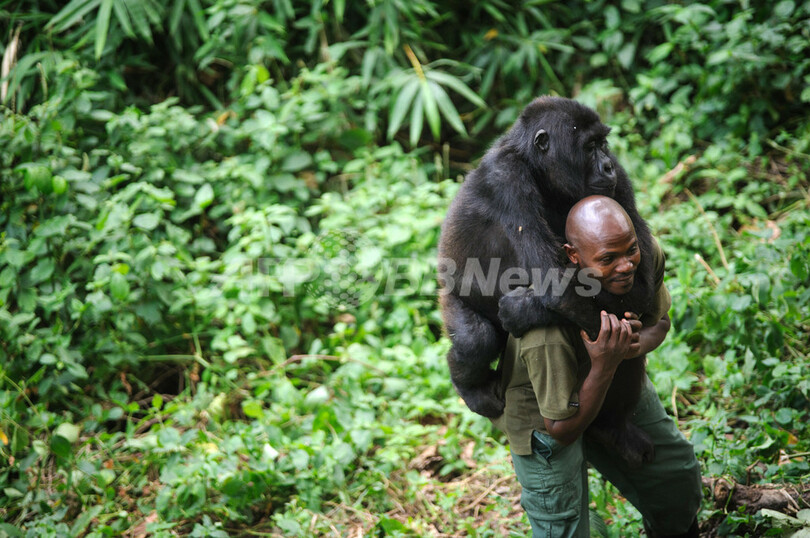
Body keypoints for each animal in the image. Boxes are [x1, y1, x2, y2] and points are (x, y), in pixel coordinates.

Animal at [436, 97, 656, 464]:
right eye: (590, 146)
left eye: (604, 144)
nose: (608, 166)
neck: (538, 168)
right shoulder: (506, 180)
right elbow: (558, 285)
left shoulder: (620, 184)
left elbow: (641, 281)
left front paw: (522, 310)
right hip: (450, 296)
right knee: (474, 338)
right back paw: (470, 387)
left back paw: (613, 427)